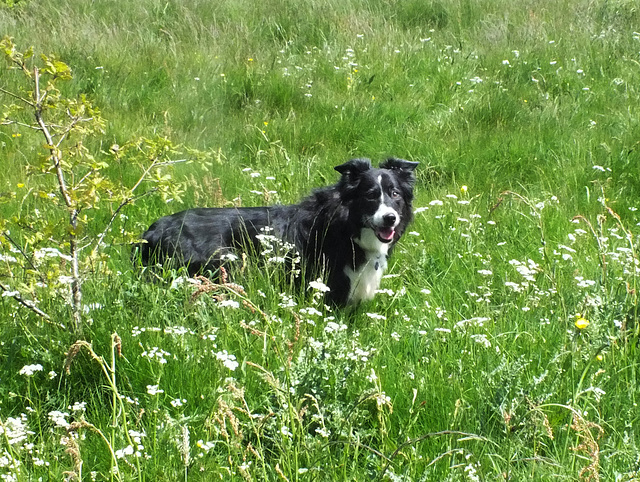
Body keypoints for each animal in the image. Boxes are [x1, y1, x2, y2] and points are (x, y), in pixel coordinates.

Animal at [135, 160, 418, 306]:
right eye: (370, 195)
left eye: (395, 194)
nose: (390, 219)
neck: (345, 226)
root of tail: (150, 232)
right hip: (225, 261)